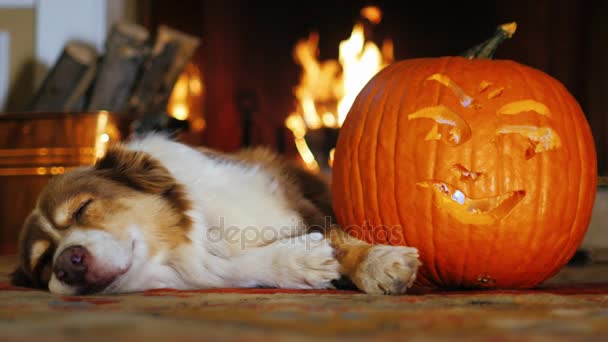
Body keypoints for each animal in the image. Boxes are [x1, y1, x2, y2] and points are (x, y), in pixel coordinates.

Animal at [11, 135, 420, 296]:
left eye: (83, 207)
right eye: (43, 263)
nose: (67, 264)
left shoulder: (297, 206)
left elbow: (340, 237)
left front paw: (380, 263)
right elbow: (232, 270)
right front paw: (298, 261)